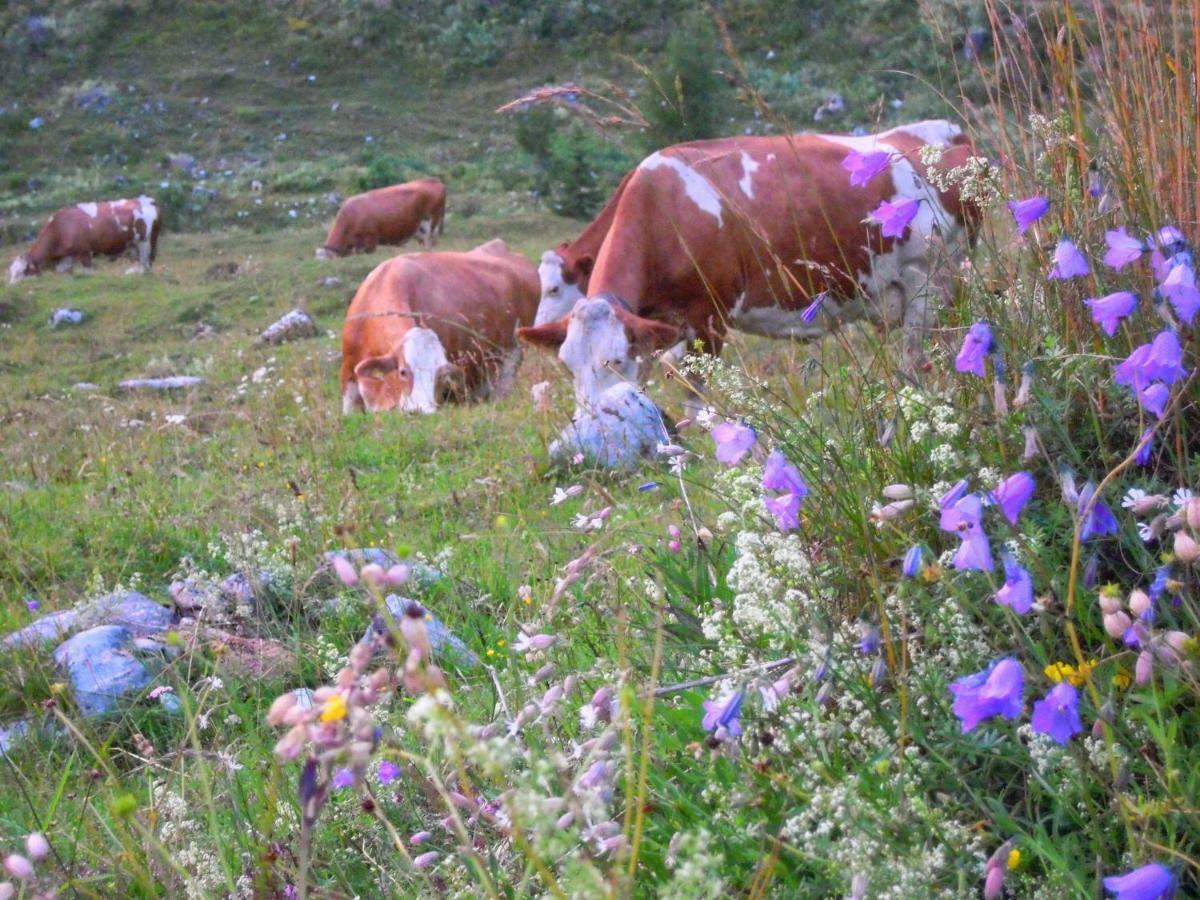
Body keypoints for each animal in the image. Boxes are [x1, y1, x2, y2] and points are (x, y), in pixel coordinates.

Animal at [5, 196, 162, 285]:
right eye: (11, 271)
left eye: (22, 272)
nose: (11, 286)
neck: (60, 227)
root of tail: (146, 200)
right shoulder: (66, 257)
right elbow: (65, 272)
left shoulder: (84, 252)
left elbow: (88, 272)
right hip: (133, 243)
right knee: (139, 260)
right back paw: (132, 272)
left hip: (145, 240)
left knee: (145, 261)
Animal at [520, 120, 979, 420]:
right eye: (567, 364)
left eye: (614, 360)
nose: (592, 426)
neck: (664, 211)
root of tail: (944, 132)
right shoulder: (655, 327)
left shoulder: (707, 316)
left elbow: (694, 390)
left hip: (930, 276)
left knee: (918, 355)